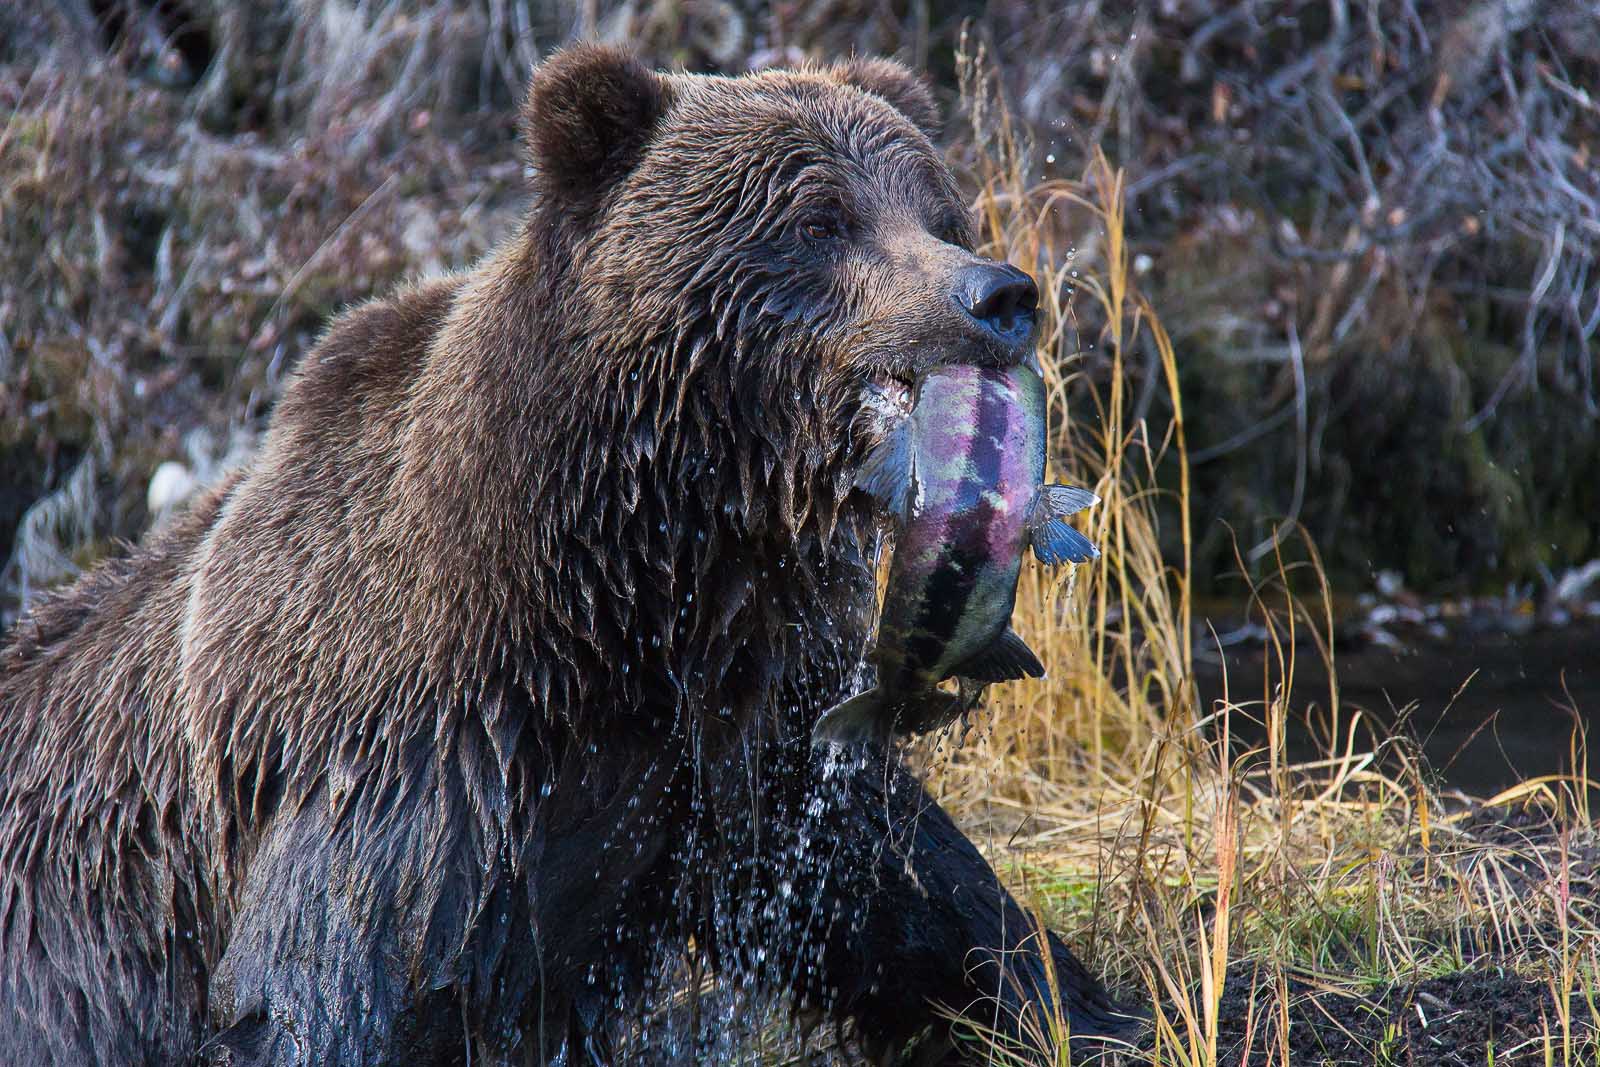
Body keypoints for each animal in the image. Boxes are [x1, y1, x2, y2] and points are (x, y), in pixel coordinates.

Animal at [0, 45, 1126, 1062]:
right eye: (821, 219)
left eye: (939, 211)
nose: (998, 295)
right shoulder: (406, 762)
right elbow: (318, 995)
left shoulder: (737, 735)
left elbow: (904, 887)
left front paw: (1087, 1008)